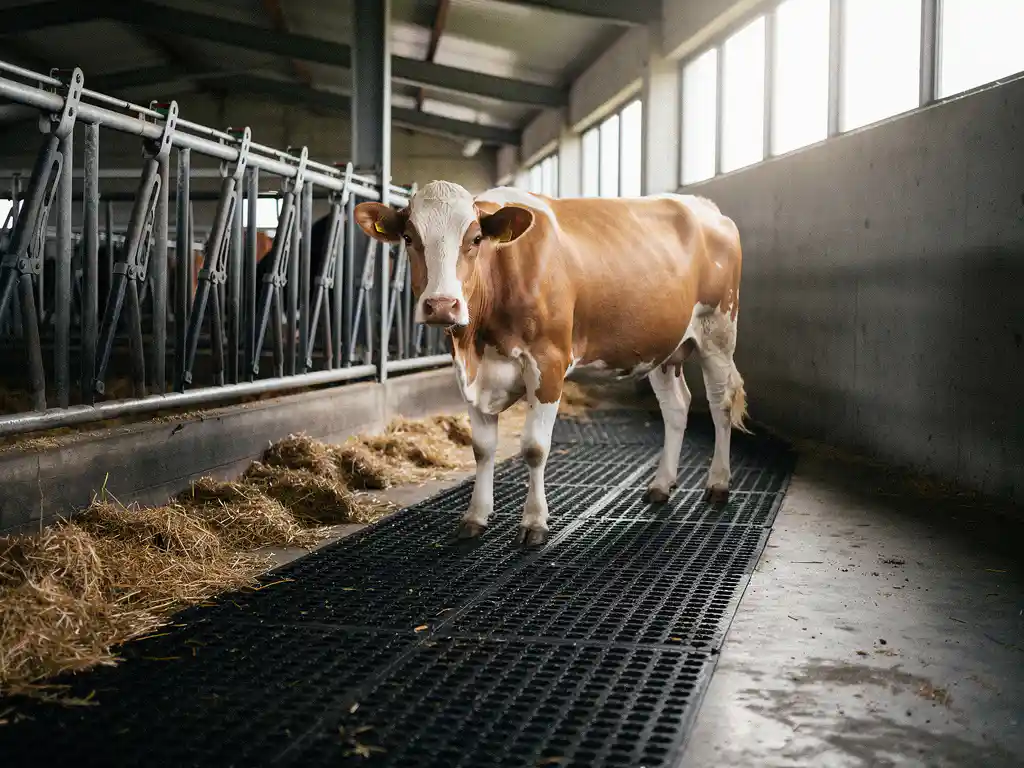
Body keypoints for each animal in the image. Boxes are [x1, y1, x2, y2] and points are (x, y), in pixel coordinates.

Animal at [354, 182, 748, 546]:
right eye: (408, 237)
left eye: (476, 238)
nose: (441, 305)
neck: (480, 342)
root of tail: (708, 208)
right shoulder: (469, 373)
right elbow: (482, 448)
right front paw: (476, 516)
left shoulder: (549, 362)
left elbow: (534, 447)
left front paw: (534, 522)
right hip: (664, 348)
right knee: (676, 407)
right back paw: (661, 485)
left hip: (718, 331)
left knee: (721, 403)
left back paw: (718, 484)